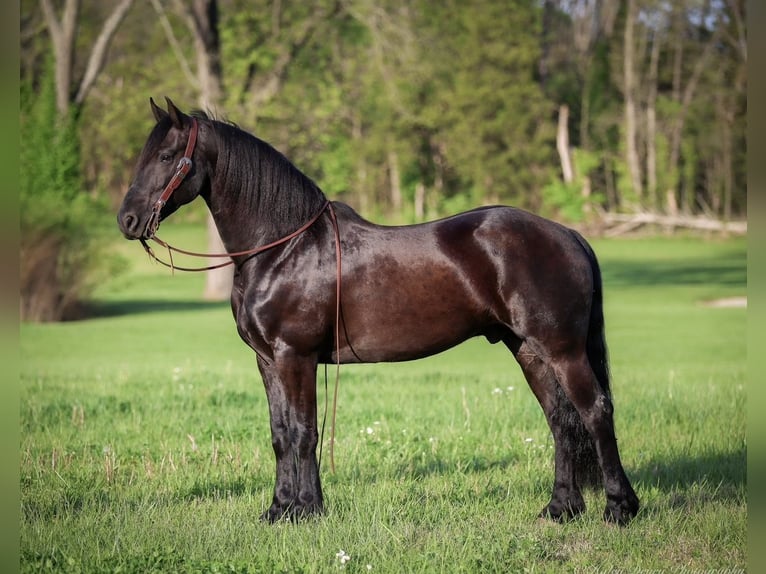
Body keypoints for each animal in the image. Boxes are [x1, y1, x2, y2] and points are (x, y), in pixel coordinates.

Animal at [115, 98, 640, 528]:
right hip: (529, 351)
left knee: (595, 411)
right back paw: (561, 508)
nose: (127, 220)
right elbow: (281, 434)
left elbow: (304, 433)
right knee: (560, 420)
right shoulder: (268, 361)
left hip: (563, 350)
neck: (283, 247)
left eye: (166, 157)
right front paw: (279, 509)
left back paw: (619, 508)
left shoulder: (295, 357)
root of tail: (566, 234)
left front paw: (306, 511)